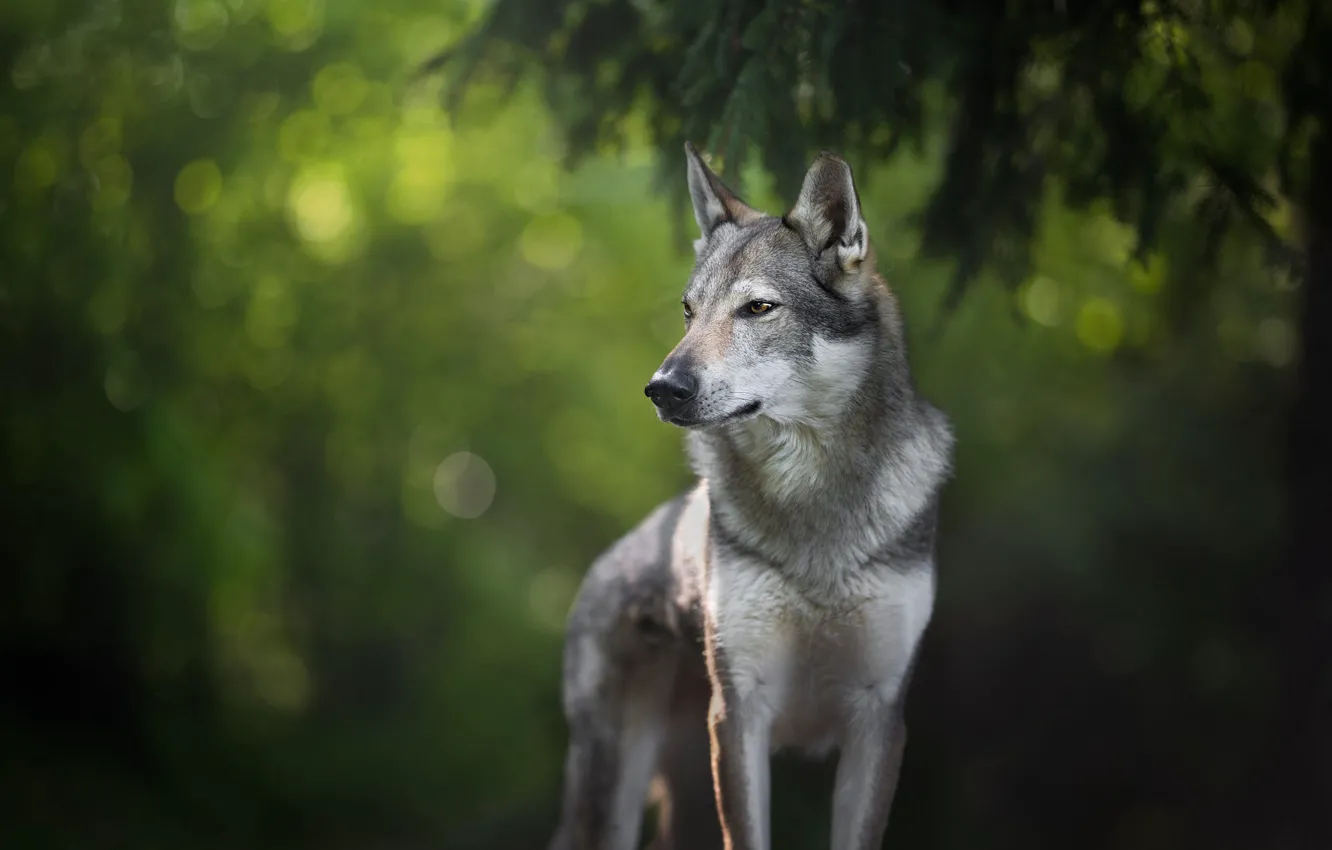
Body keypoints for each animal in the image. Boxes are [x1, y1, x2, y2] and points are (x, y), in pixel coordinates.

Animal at [546, 143, 954, 850]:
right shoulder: (740, 715)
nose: (662, 388)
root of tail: (610, 559)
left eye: (758, 309)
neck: (812, 502)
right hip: (618, 794)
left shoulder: (878, 719)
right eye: (689, 311)